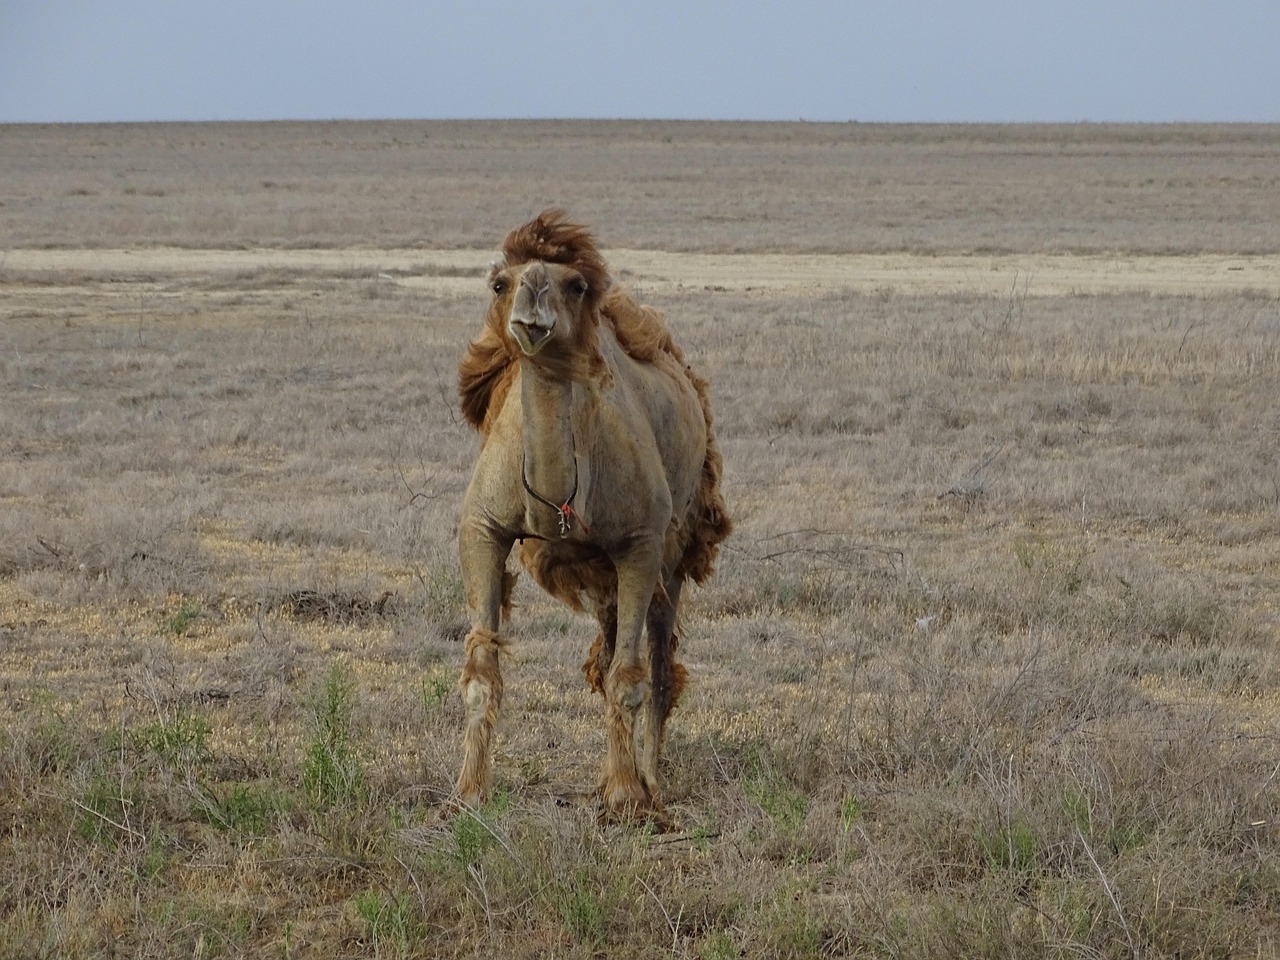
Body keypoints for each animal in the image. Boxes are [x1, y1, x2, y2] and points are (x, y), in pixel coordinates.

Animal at [453, 210, 731, 813]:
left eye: (575, 285)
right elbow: (483, 668)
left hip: (675, 549)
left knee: (658, 661)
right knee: (607, 653)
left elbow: (630, 676)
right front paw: (468, 791)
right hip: (602, 571)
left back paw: (649, 780)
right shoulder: (482, 529)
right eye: (500, 283)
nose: (531, 314)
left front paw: (627, 796)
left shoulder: (640, 543)